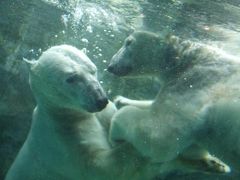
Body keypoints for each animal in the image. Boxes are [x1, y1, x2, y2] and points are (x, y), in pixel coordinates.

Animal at [6, 44, 171, 180]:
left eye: (93, 69)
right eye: (71, 78)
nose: (101, 100)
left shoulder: (101, 114)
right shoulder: (61, 141)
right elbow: (98, 167)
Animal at [108, 31, 240, 176]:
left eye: (129, 42)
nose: (110, 66)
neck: (184, 59)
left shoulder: (192, 82)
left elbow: (160, 136)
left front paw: (114, 135)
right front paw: (120, 100)